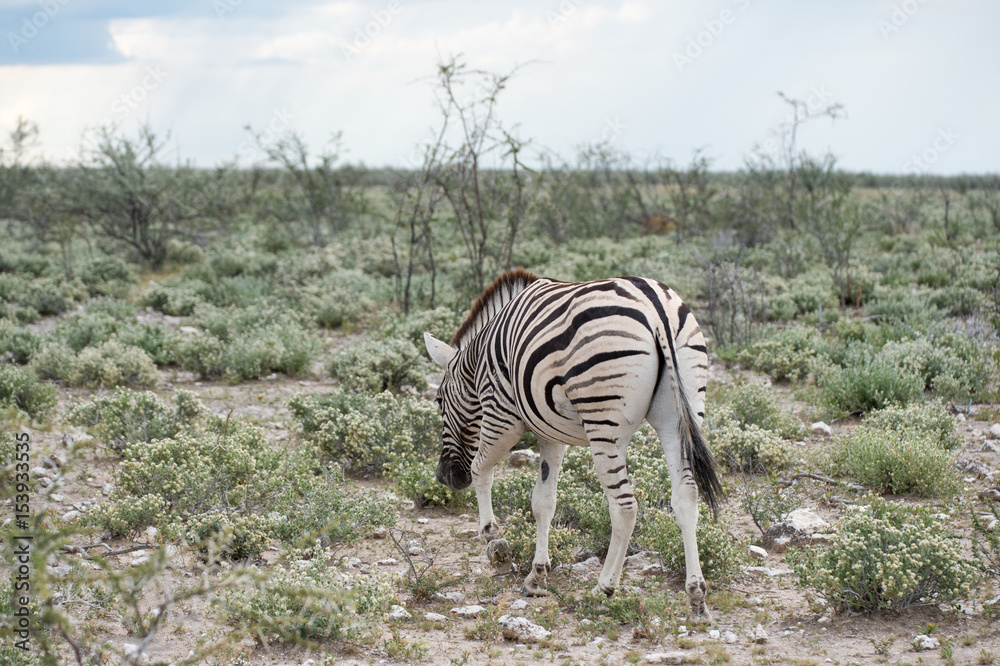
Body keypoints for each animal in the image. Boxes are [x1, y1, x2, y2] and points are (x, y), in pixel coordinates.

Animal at [423, 269, 722, 618]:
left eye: (439, 400)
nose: (444, 477)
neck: (479, 360)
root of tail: (656, 306)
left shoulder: (502, 414)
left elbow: (481, 469)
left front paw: (494, 544)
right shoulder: (551, 433)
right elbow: (543, 502)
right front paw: (537, 576)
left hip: (603, 419)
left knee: (624, 507)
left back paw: (603, 589)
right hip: (678, 414)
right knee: (686, 495)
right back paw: (696, 595)